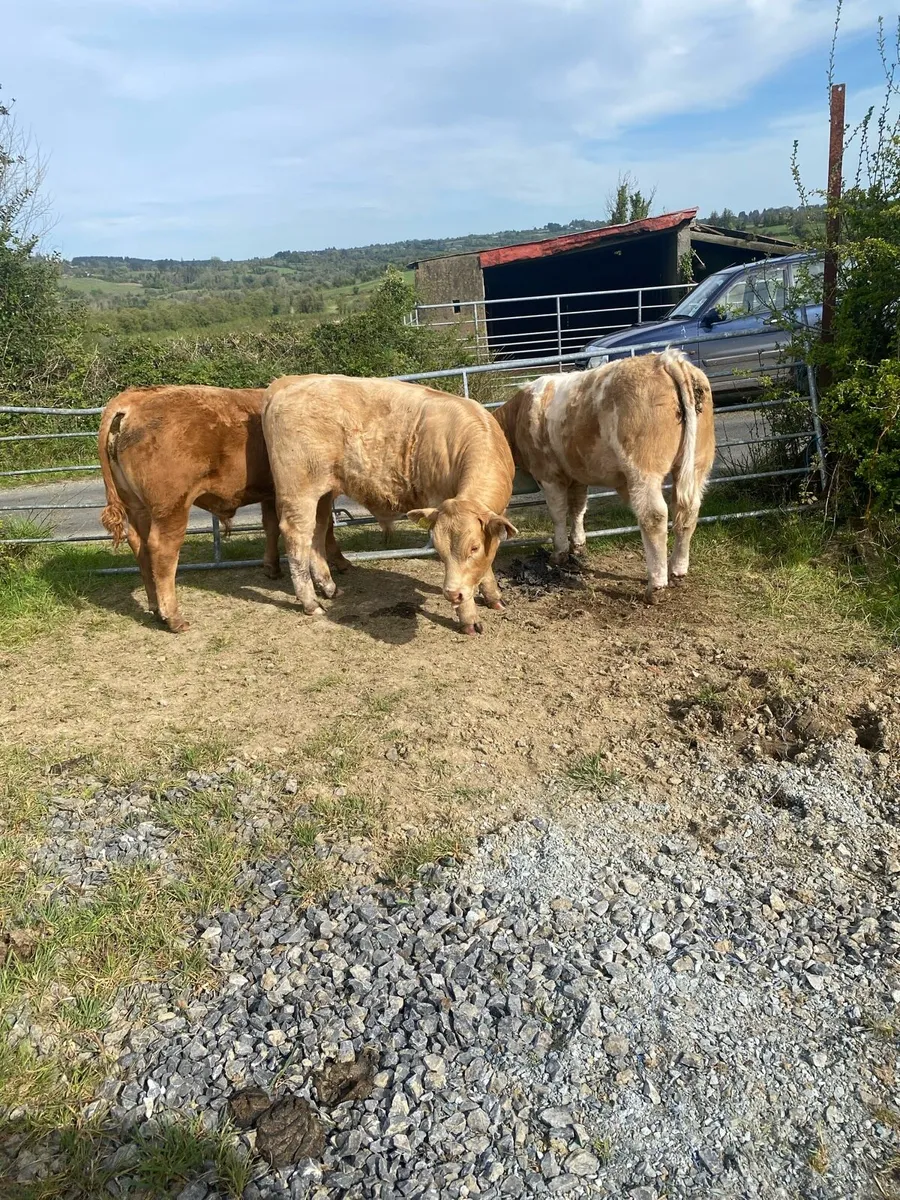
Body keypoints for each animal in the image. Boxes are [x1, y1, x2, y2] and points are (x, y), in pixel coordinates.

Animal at [98, 385, 349, 632]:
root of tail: (135, 397)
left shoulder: (271, 493)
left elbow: (271, 527)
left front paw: (272, 567)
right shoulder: (317, 492)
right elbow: (324, 529)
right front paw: (337, 569)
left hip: (137, 506)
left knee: (138, 545)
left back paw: (155, 607)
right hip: (171, 507)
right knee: (163, 551)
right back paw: (174, 618)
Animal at [262, 374, 517, 635]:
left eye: (474, 547)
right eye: (438, 548)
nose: (451, 594)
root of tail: (287, 384)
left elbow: (487, 562)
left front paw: (493, 596)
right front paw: (469, 618)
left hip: (323, 494)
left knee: (318, 533)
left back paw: (330, 588)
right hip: (299, 492)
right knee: (297, 537)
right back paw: (310, 602)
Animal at [493, 350, 715, 598]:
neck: (520, 413)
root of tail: (665, 359)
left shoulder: (548, 474)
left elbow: (558, 514)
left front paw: (559, 553)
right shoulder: (577, 473)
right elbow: (578, 508)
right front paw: (578, 546)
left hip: (643, 470)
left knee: (654, 516)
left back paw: (656, 586)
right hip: (698, 464)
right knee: (688, 511)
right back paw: (677, 570)